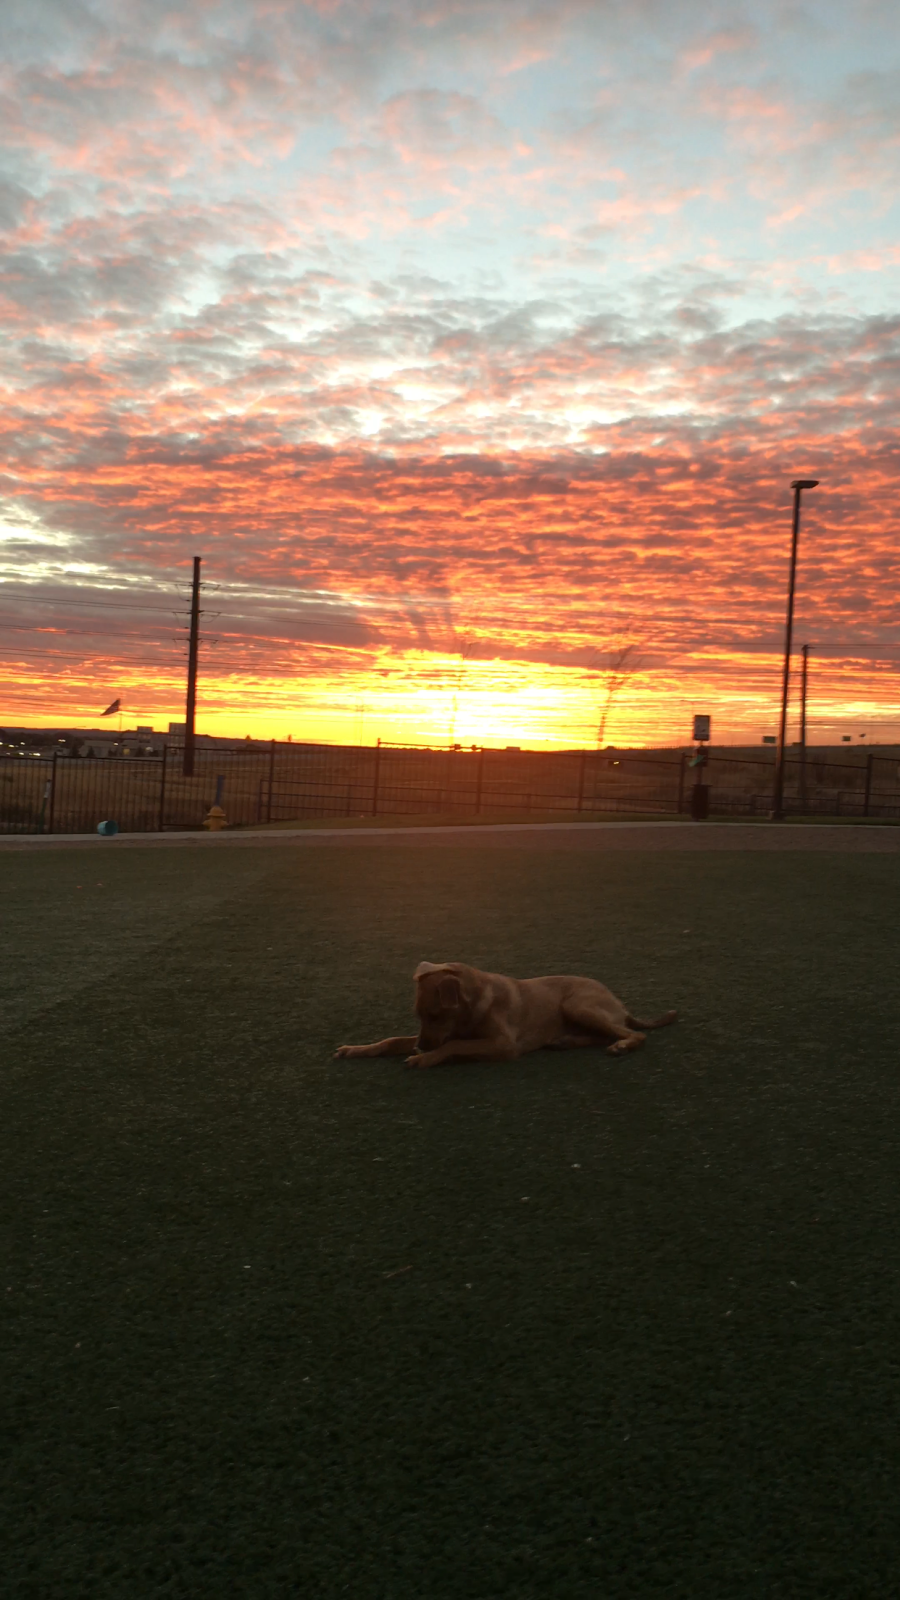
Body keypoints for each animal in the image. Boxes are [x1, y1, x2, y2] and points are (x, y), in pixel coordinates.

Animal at [333, 953, 675, 1068]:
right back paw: (566, 1041)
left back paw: (622, 1045)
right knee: (603, 1034)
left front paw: (424, 1059)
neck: (472, 1007)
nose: (422, 1046)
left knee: (633, 1034)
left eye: (435, 1015)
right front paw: (355, 1049)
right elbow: (391, 1040)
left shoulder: (504, 1044)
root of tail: (621, 1004)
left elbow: (455, 1045)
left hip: (577, 1005)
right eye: (419, 1016)